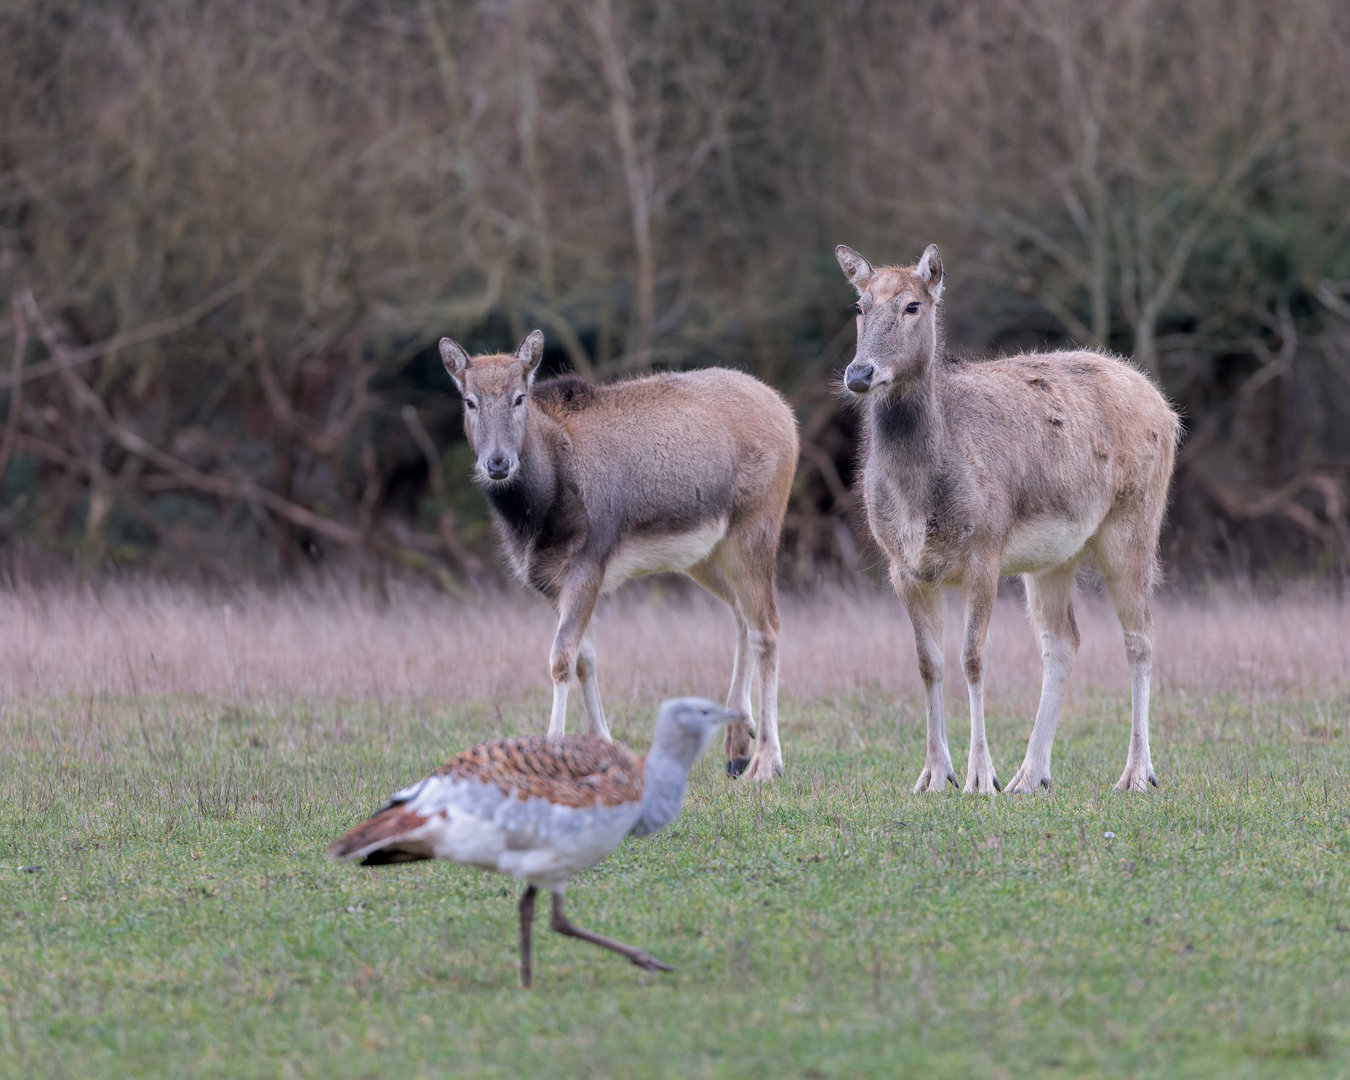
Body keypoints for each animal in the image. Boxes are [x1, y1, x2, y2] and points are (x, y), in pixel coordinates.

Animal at [438, 330, 799, 781]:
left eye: (519, 397)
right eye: (470, 401)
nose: (498, 463)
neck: (539, 515)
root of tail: (787, 414)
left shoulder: (589, 562)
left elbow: (561, 658)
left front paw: (553, 753)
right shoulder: (552, 582)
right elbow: (586, 658)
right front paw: (602, 746)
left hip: (756, 528)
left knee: (768, 625)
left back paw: (767, 761)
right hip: (705, 555)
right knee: (741, 616)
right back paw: (737, 744)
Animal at [835, 243, 1179, 795]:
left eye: (912, 305)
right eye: (859, 306)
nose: (859, 374)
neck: (920, 499)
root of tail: (1168, 411)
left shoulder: (985, 550)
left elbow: (972, 658)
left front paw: (979, 776)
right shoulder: (901, 566)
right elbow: (928, 664)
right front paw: (934, 775)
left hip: (1135, 524)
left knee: (1140, 636)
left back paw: (1136, 774)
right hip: (1053, 560)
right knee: (1063, 641)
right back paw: (1030, 775)